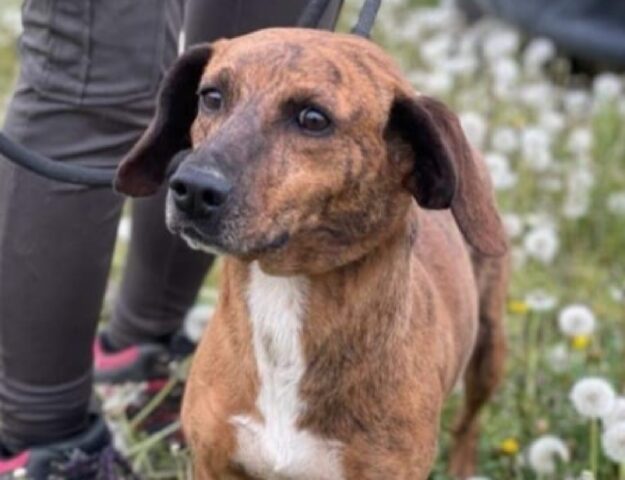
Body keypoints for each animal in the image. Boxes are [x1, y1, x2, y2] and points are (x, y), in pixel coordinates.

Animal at [114, 28, 510, 480]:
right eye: (211, 97)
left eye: (313, 119)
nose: (193, 188)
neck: (282, 293)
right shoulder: (213, 463)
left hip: (490, 350)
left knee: (470, 422)